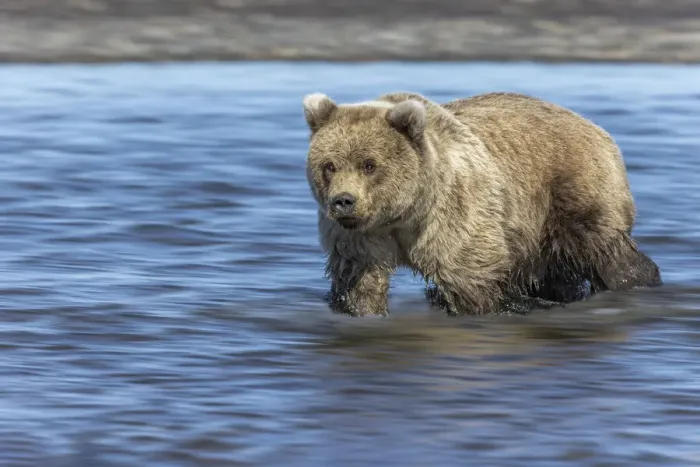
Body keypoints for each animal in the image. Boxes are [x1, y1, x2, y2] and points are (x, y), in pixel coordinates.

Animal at [302, 91, 662, 317]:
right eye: (329, 165)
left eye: (369, 164)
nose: (343, 201)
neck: (403, 215)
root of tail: (596, 128)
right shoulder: (359, 237)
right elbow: (359, 282)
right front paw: (359, 310)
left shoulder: (453, 214)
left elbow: (468, 278)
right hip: (533, 234)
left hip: (569, 192)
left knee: (606, 251)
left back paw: (637, 282)